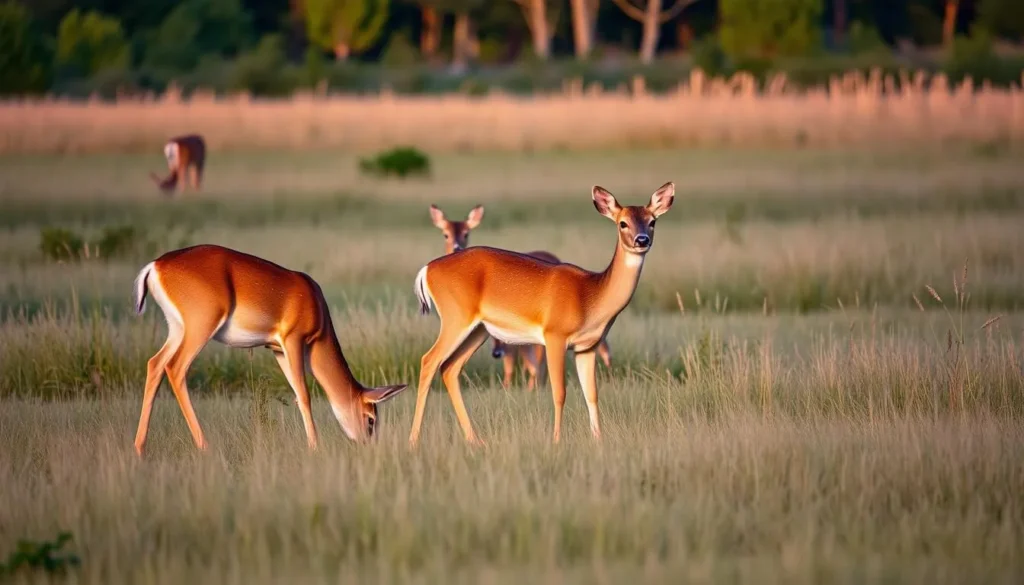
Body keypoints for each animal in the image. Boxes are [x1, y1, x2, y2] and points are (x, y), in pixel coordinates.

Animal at [131, 244, 409, 457]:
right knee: (175, 368)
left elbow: (296, 392)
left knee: (155, 364)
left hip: (177, 329)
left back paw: (140, 448)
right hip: (200, 329)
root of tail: (156, 266)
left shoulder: (277, 349)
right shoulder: (294, 341)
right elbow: (304, 395)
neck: (315, 303)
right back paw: (204, 446)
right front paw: (314, 447)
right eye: (371, 419)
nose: (367, 447)